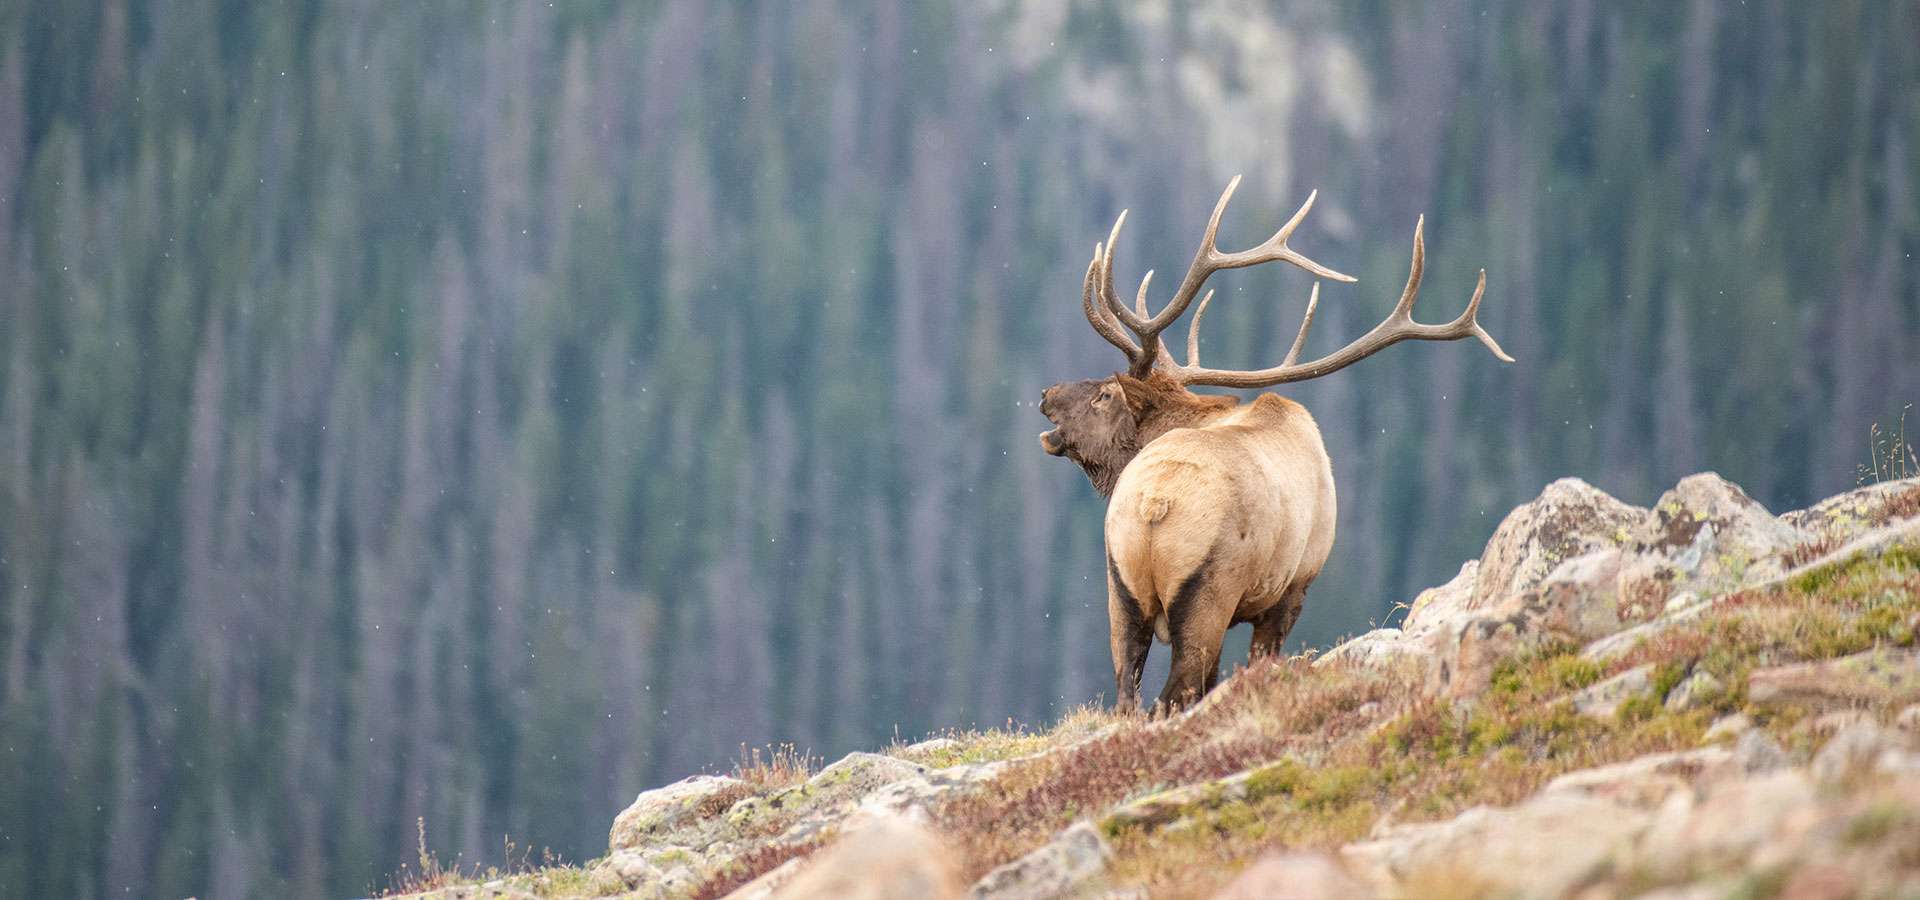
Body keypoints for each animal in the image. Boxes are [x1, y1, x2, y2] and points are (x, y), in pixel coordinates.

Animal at [1037, 176, 1512, 713]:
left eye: (1104, 394)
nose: (1047, 395)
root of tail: (1153, 503)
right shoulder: (1293, 587)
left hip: (1124, 587)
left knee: (1131, 694)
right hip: (1206, 594)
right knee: (1176, 691)